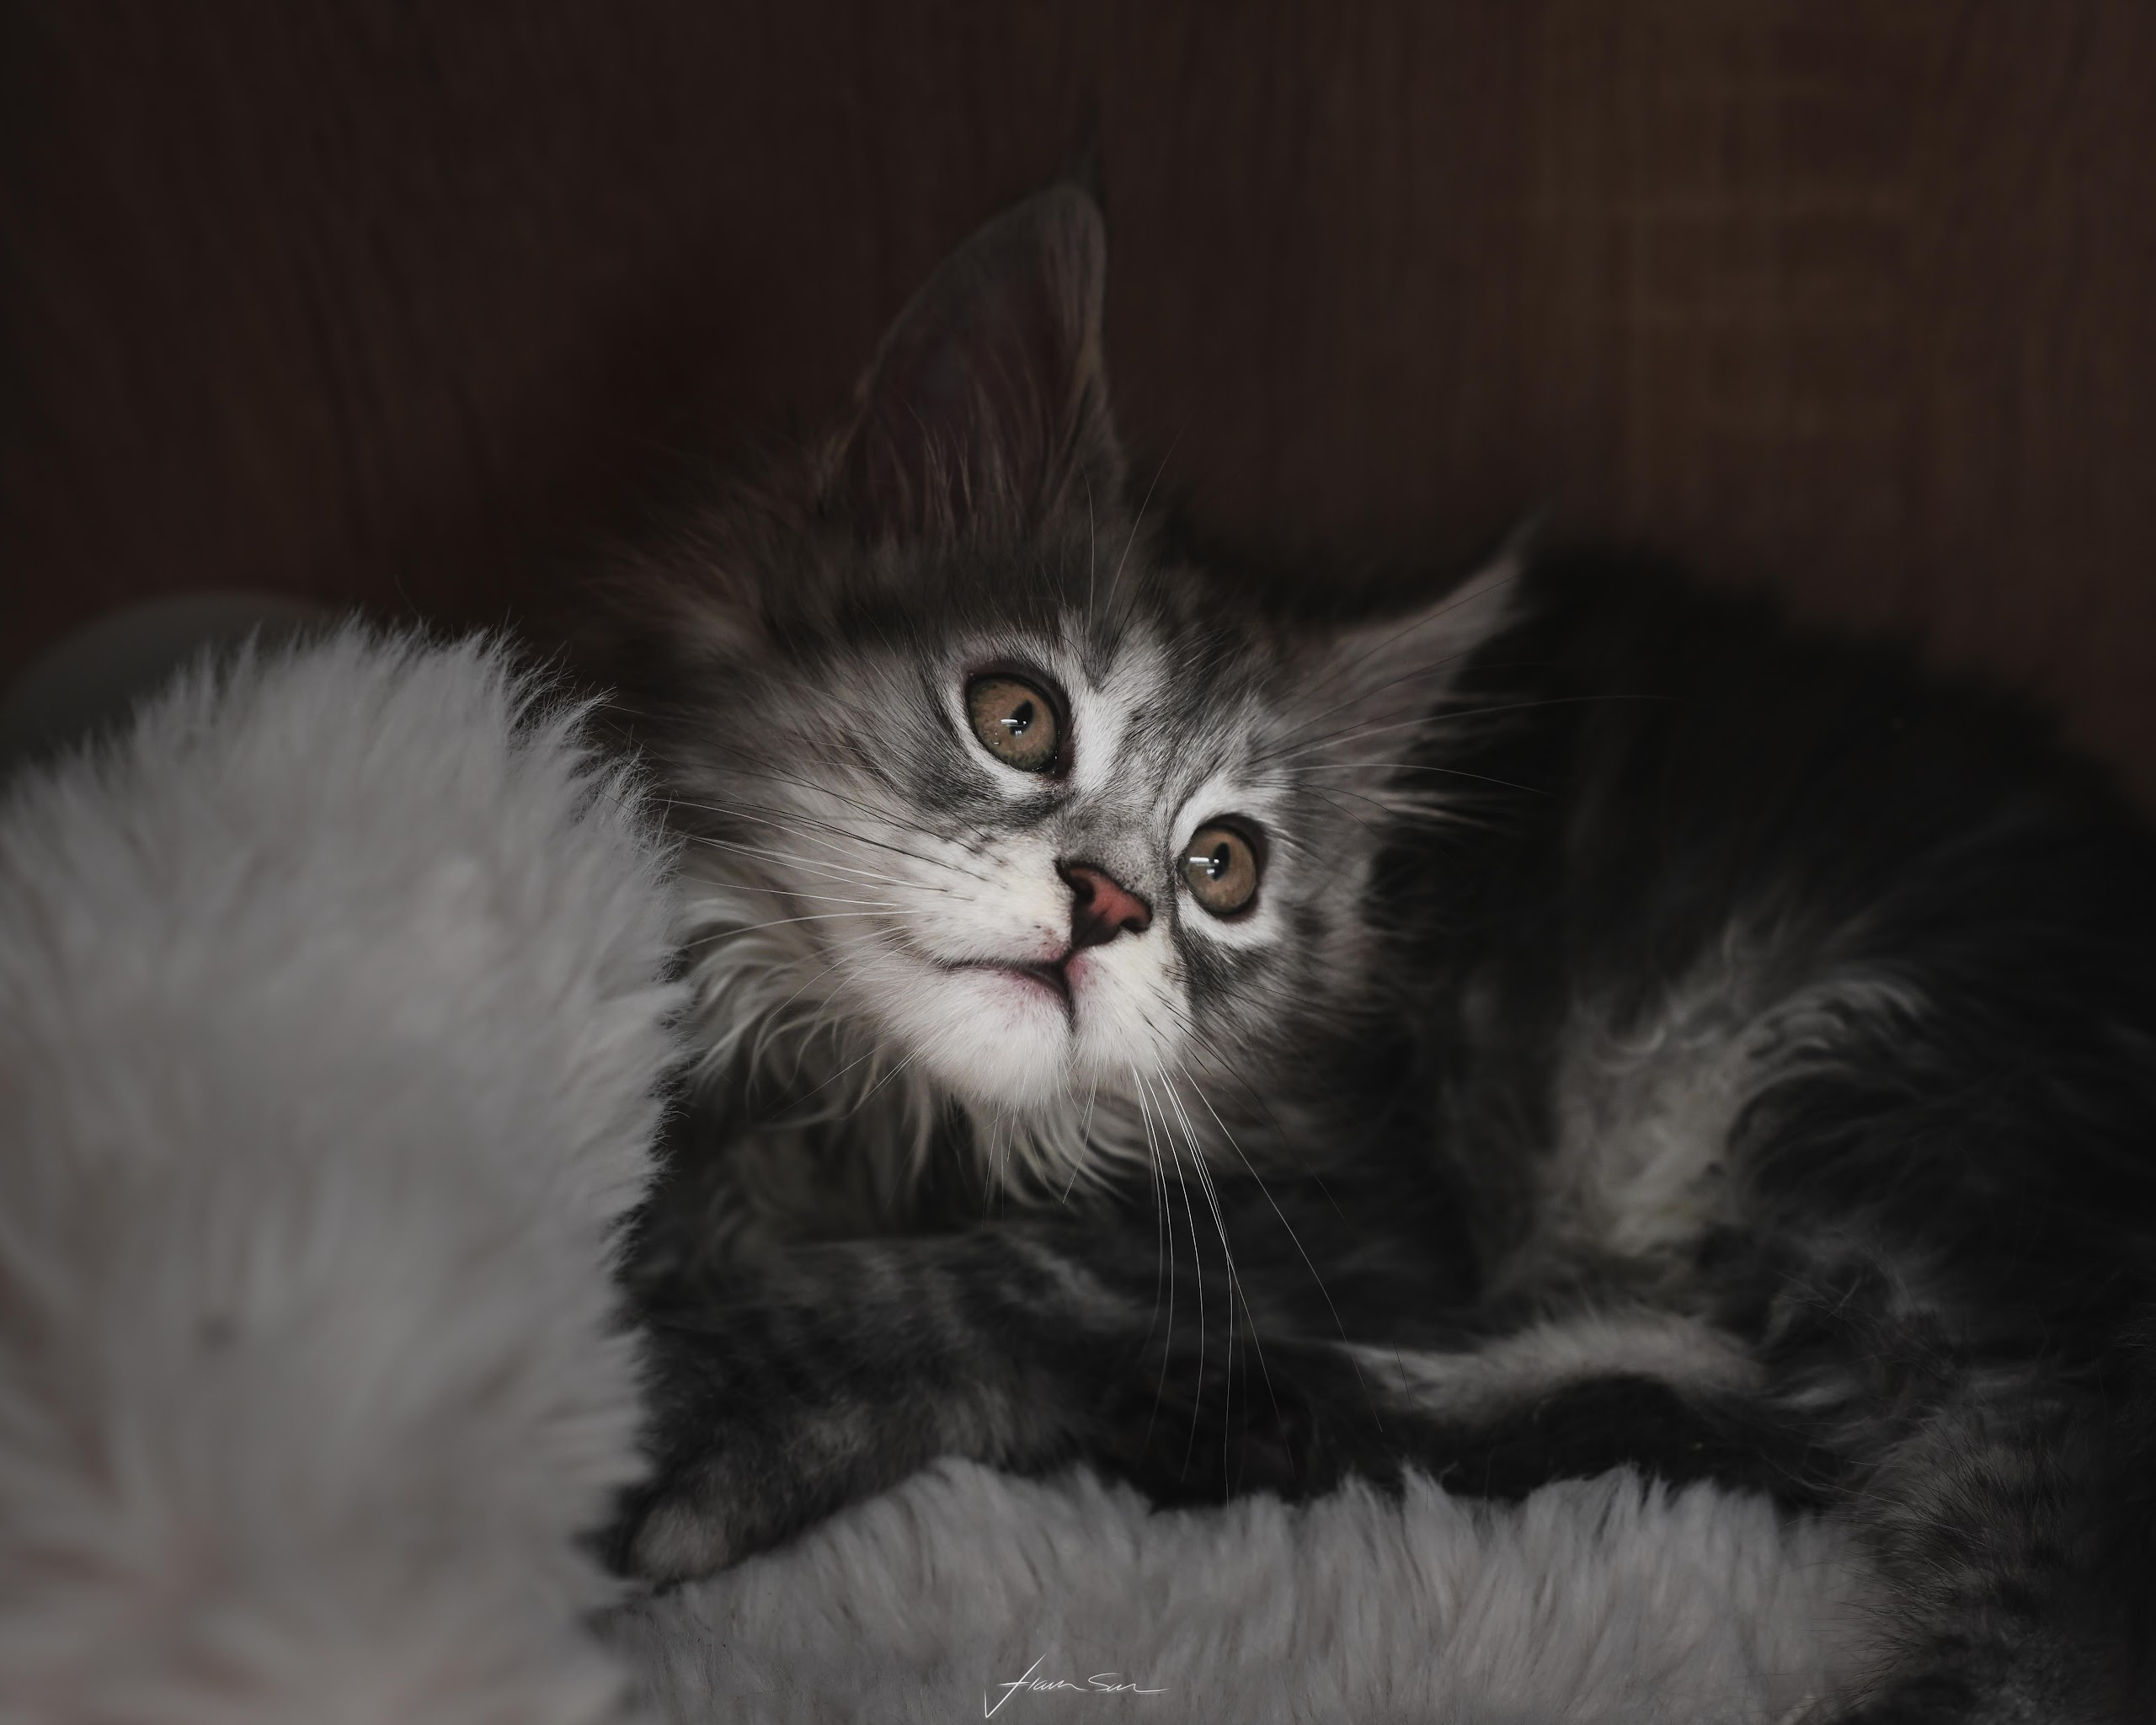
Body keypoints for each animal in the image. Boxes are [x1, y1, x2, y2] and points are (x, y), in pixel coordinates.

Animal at [580, 180, 2156, 1722]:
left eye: (1221, 867)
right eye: (1016, 715)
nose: (1108, 903)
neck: (883, 1112)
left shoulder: (1358, 1220)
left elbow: (996, 1271)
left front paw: (691, 1396)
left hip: (1891, 1098)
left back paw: (1249, 1417)